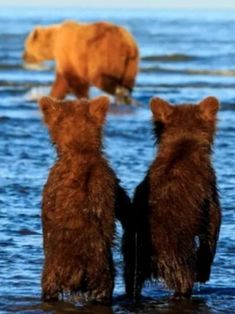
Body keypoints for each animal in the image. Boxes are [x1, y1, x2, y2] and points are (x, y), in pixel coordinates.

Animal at [125, 95, 222, 300]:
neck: (183, 145)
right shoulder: (208, 186)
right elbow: (212, 223)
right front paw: (204, 271)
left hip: (132, 252)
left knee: (132, 282)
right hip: (176, 252)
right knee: (184, 280)